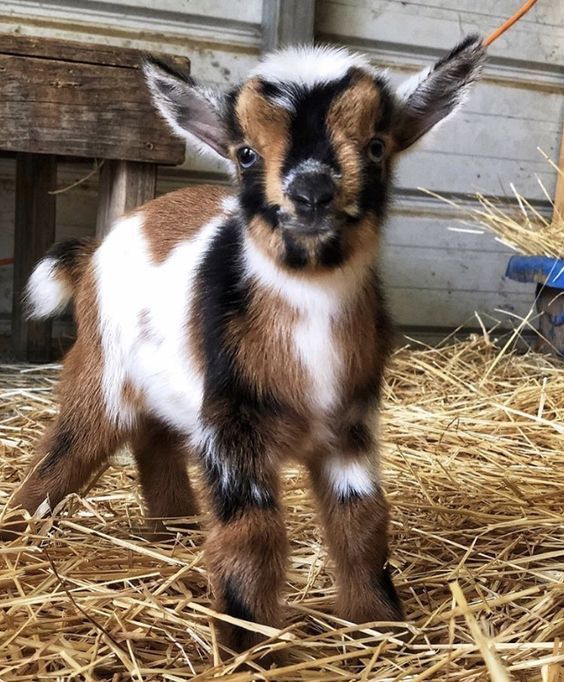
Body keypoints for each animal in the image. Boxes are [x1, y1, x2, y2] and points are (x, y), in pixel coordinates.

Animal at [2, 35, 484, 648]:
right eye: (246, 153)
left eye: (377, 146)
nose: (311, 193)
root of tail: (95, 249)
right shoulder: (232, 426)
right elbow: (251, 533)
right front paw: (250, 645)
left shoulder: (350, 426)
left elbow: (362, 519)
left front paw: (378, 624)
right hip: (102, 364)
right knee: (69, 443)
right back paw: (19, 525)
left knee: (154, 440)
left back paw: (176, 529)